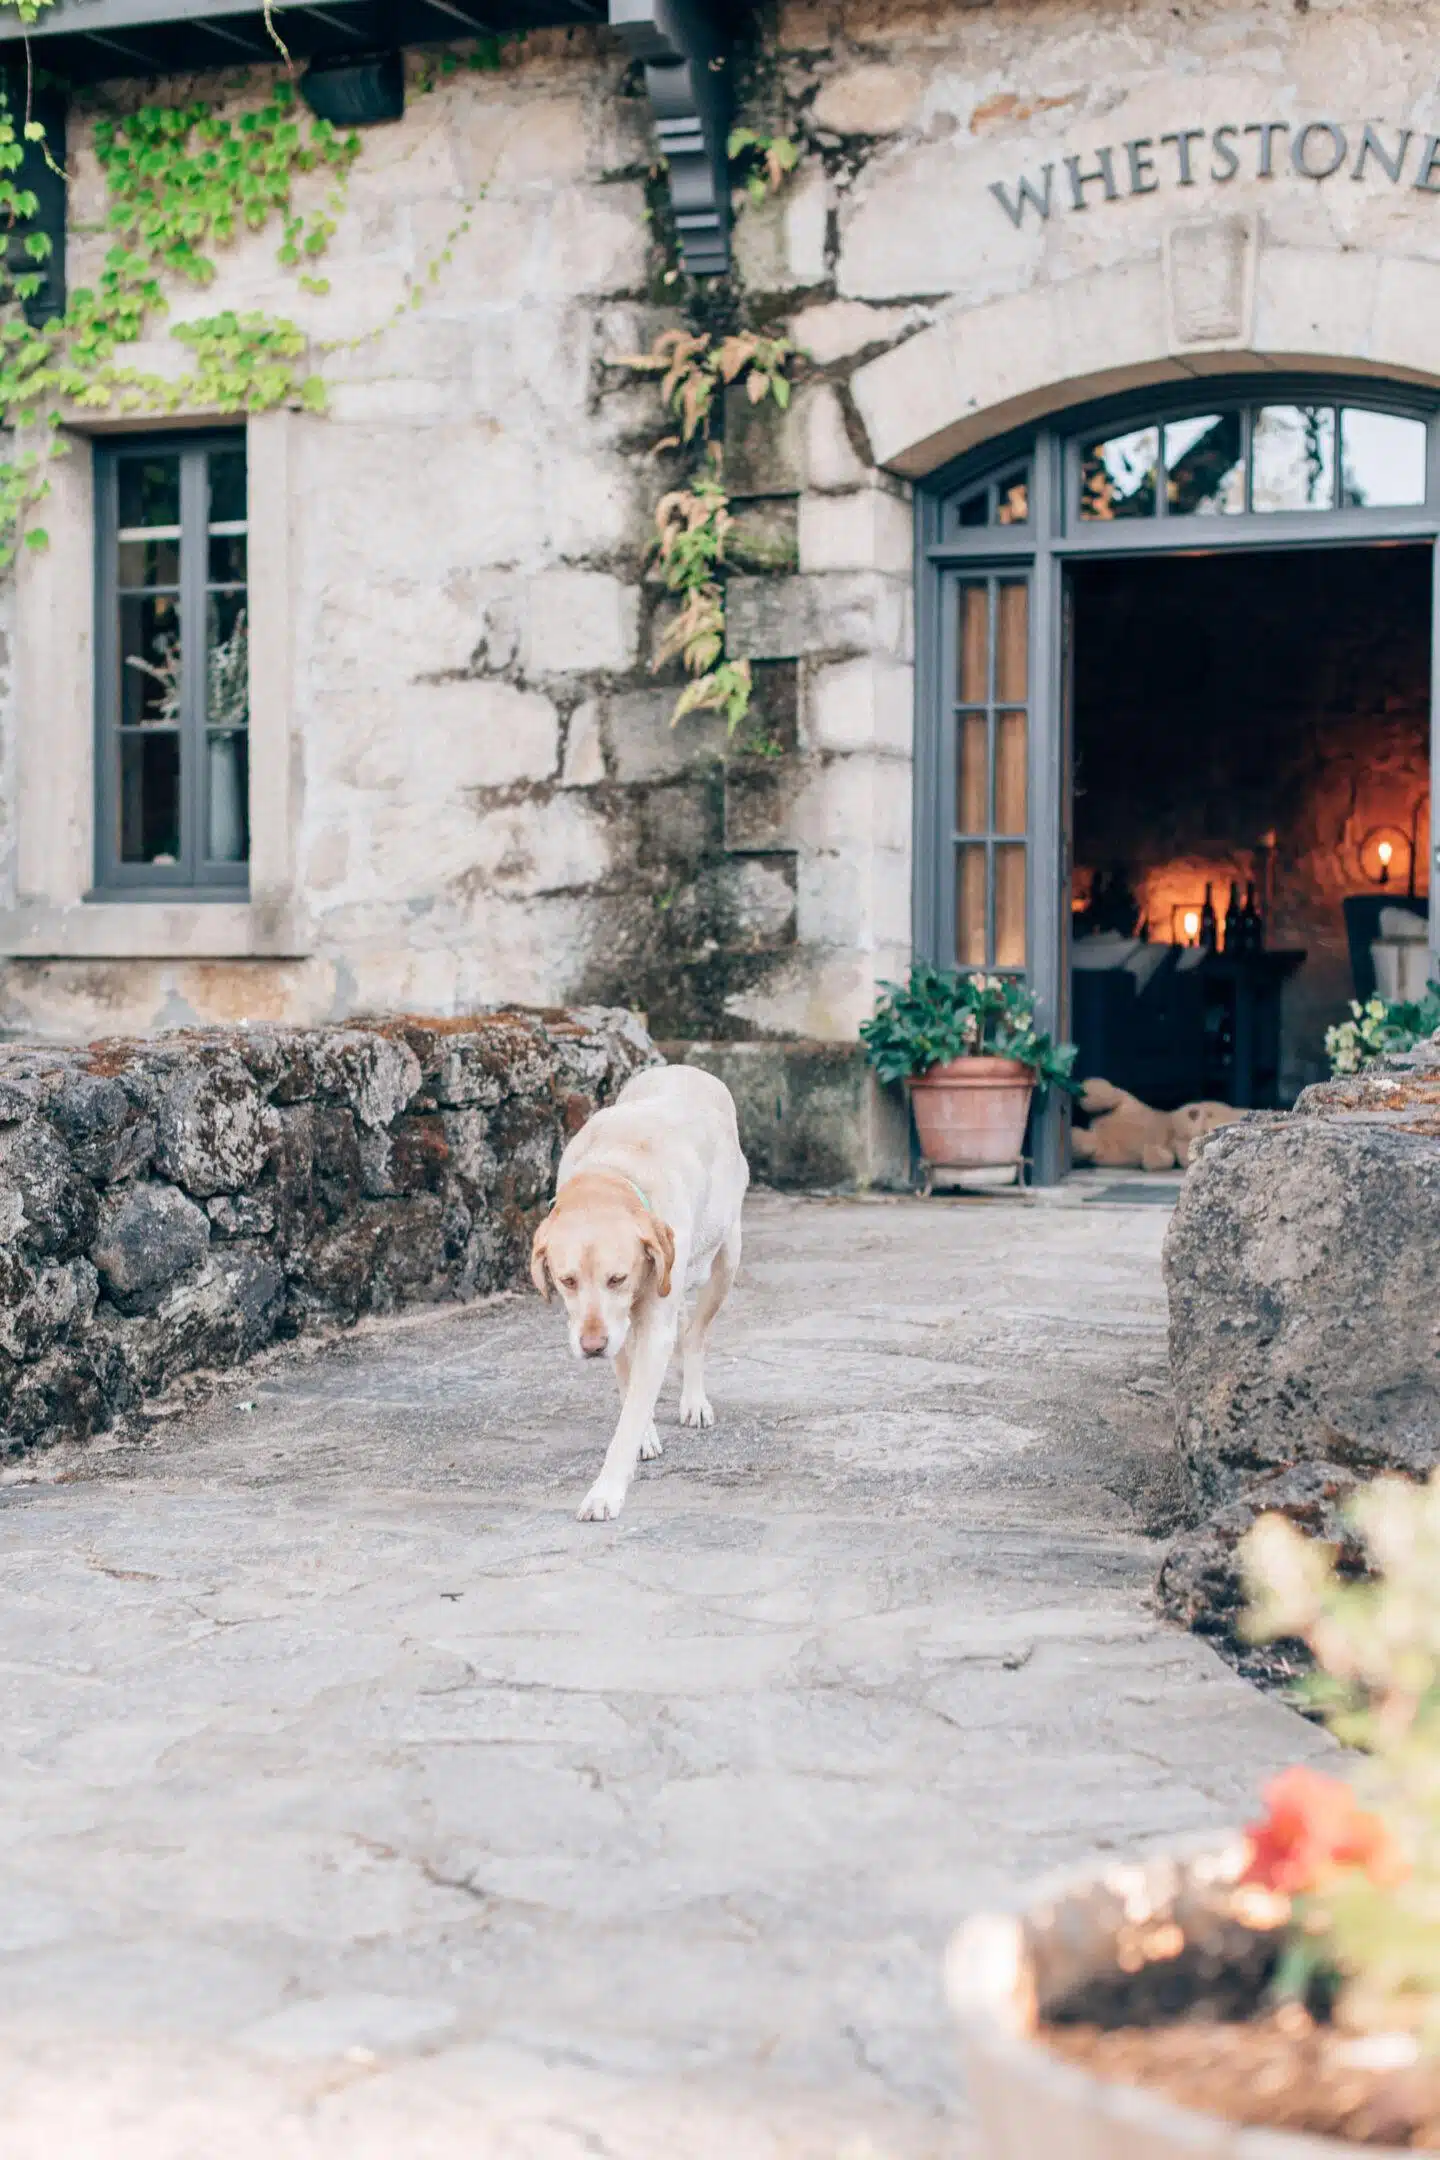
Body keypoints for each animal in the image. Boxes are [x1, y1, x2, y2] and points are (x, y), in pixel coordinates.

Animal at [530, 1064, 749, 1522]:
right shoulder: (616, 1326)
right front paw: (645, 1434)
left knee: (695, 1334)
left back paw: (693, 1399)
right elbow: (629, 1382)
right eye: (566, 1280)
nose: (592, 1346)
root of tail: (685, 1067)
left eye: (618, 1278)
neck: (614, 1170)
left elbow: (630, 1414)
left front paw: (606, 1491)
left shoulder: (650, 1322)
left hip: (726, 1260)